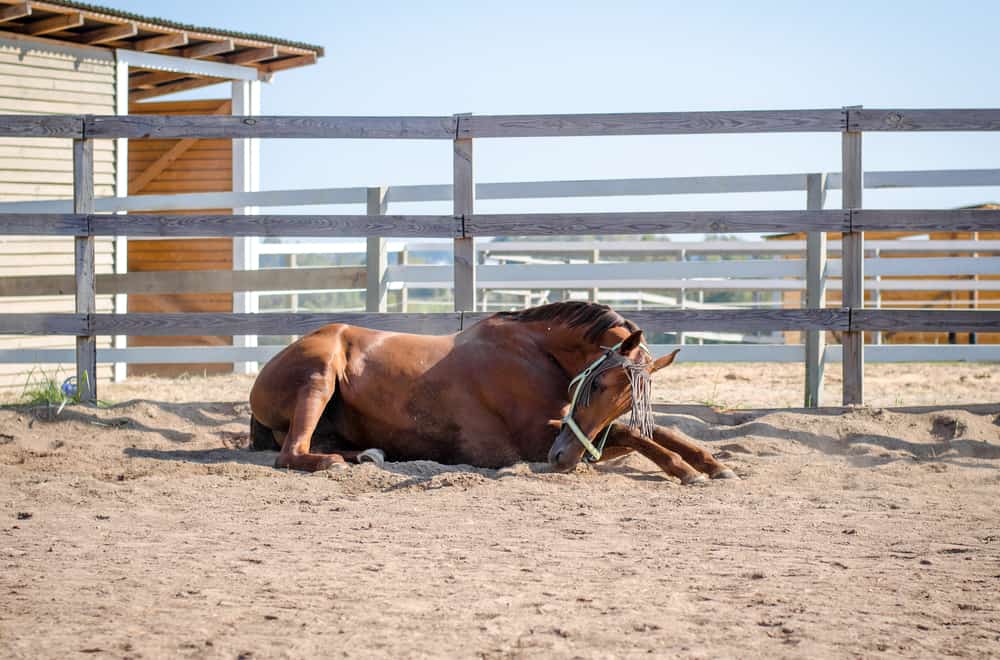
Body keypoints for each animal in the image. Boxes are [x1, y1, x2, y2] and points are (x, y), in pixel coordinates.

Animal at [248, 301, 736, 484]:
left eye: (629, 399)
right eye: (597, 382)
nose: (563, 460)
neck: (538, 354)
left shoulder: (581, 435)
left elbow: (661, 433)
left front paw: (714, 465)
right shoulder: (540, 440)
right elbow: (638, 436)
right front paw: (686, 472)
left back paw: (368, 455)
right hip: (319, 376)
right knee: (292, 454)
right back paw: (336, 462)